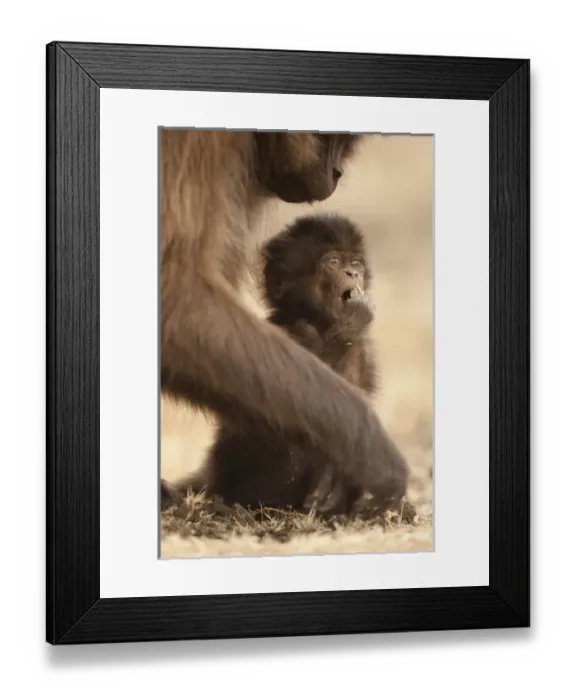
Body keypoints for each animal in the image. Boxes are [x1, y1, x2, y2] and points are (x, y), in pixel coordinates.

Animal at [159, 130, 408, 515]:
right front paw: (369, 456)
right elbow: (176, 298)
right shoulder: (203, 144)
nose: (336, 172)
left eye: (356, 263)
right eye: (333, 263)